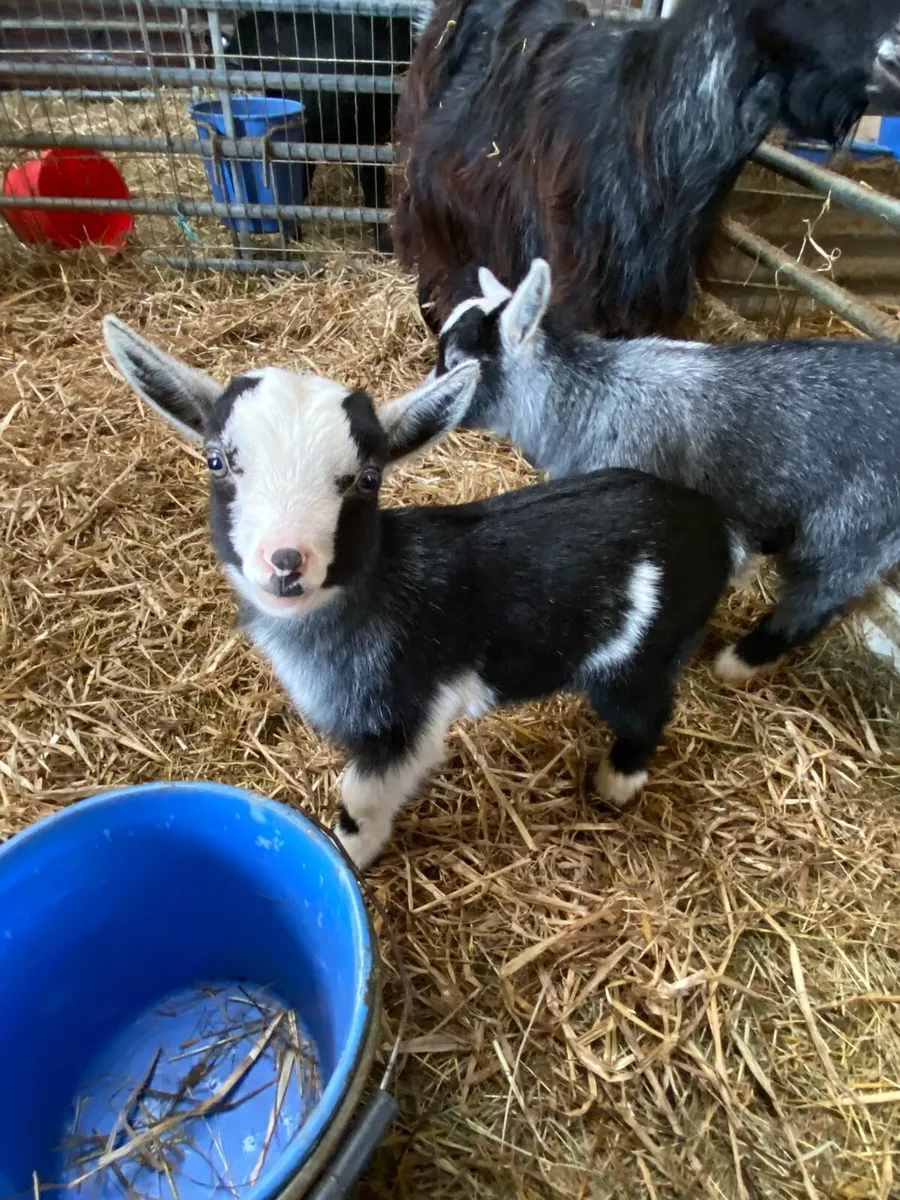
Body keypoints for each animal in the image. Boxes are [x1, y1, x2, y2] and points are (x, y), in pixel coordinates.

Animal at [102, 315, 736, 869]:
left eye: (368, 478)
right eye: (216, 461)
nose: (285, 561)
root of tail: (711, 524)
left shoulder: (403, 722)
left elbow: (361, 799)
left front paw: (349, 853)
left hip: (635, 659)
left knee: (648, 711)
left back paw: (616, 782)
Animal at [224, 9, 420, 252]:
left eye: (269, 30)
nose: (230, 61)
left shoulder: (365, 135)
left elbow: (372, 187)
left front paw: (383, 247)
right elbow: (298, 187)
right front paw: (291, 238)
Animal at [381, 258, 900, 683]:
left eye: (455, 362)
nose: (412, 410)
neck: (590, 399)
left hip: (857, 523)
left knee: (819, 591)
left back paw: (740, 662)